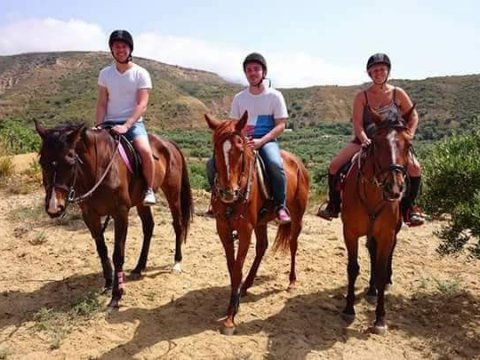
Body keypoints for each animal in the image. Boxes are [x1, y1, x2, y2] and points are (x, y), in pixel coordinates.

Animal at [35, 122, 193, 308]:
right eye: (42, 162)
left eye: (70, 162)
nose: (54, 207)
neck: (98, 169)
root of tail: (169, 143)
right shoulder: (90, 215)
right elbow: (102, 250)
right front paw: (108, 283)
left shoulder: (120, 213)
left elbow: (118, 254)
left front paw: (117, 295)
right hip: (141, 203)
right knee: (148, 227)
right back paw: (139, 267)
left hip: (173, 193)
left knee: (178, 225)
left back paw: (177, 263)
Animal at [204, 112, 310, 334]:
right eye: (215, 149)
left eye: (240, 149)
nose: (228, 193)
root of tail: (298, 163)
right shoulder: (223, 228)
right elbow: (232, 267)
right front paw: (234, 300)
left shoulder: (245, 230)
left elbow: (237, 268)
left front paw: (230, 318)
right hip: (261, 223)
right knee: (262, 246)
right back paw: (246, 285)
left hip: (297, 217)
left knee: (293, 245)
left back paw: (292, 282)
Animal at [340, 105, 414, 334]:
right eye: (377, 142)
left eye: (408, 144)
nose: (394, 188)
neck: (373, 193)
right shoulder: (350, 232)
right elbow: (353, 268)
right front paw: (348, 309)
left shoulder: (386, 234)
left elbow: (381, 270)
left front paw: (380, 318)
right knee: (371, 251)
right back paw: (371, 290)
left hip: (392, 231)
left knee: (388, 254)